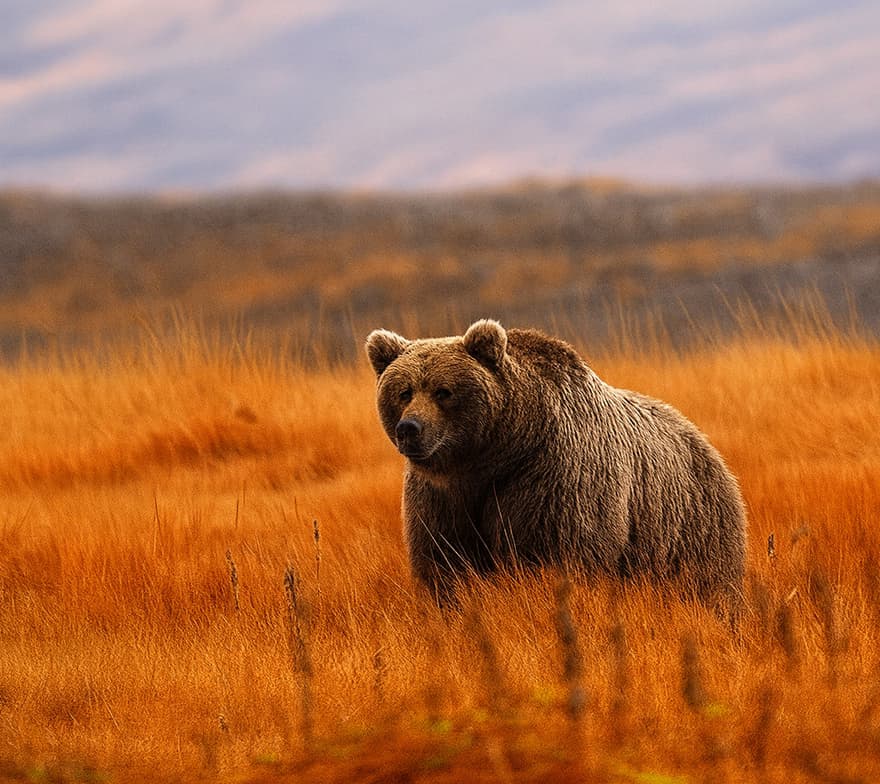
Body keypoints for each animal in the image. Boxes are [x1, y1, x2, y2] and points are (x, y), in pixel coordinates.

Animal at [365, 319, 747, 611]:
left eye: (443, 391)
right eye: (403, 391)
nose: (410, 428)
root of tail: (705, 443)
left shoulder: (551, 479)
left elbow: (557, 557)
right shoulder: (441, 498)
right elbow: (444, 564)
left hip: (690, 525)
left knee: (710, 585)